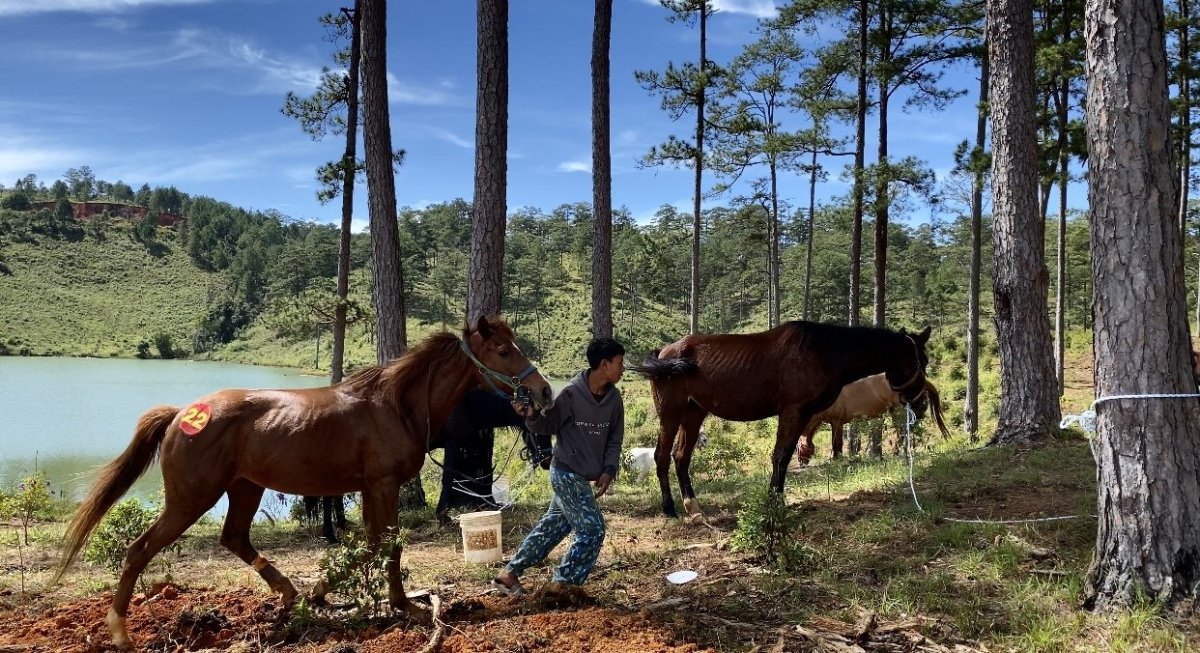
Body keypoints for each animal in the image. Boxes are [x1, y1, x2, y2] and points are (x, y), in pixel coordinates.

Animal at [54, 316, 552, 650]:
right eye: (503, 350)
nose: (543, 391)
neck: (394, 405)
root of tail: (181, 414)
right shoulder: (382, 484)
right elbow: (385, 545)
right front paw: (398, 604)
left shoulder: (370, 488)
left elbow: (373, 544)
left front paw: (335, 595)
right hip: (192, 498)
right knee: (139, 550)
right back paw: (120, 632)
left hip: (244, 488)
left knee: (233, 538)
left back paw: (290, 594)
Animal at [632, 321, 931, 518]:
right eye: (921, 362)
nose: (922, 404)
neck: (823, 352)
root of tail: (664, 352)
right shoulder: (792, 411)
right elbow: (780, 456)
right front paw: (774, 503)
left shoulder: (803, 415)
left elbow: (785, 456)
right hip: (670, 413)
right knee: (662, 456)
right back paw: (670, 509)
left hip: (694, 413)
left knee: (681, 457)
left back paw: (693, 508)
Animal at [794, 374, 949, 464]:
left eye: (797, 448)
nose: (801, 463)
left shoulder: (836, 422)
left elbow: (836, 444)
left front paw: (835, 460)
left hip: (899, 410)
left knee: (903, 432)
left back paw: (898, 454)